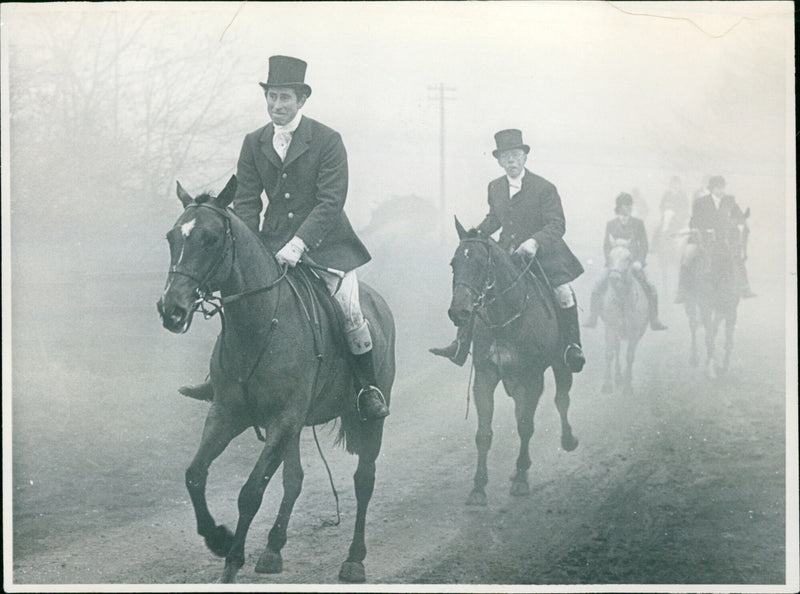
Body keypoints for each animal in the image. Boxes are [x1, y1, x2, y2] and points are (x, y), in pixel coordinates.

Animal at [155, 176, 394, 584]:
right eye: (173, 237)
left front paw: (232, 559)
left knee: (364, 480)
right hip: (294, 428)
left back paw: (354, 560)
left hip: (367, 418)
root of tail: (378, 303)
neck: (260, 321)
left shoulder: (282, 420)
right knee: (293, 479)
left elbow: (250, 492)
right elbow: (195, 475)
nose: (171, 309)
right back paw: (273, 548)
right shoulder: (229, 414)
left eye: (210, 238)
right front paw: (218, 539)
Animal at [446, 217, 580, 504]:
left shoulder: (533, 378)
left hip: (561, 364)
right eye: (454, 263)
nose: (458, 312)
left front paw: (520, 479)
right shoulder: (485, 377)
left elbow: (525, 425)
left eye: (481, 263)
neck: (505, 318)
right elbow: (484, 433)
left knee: (561, 398)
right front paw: (478, 487)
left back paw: (567, 440)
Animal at [600, 236, 648, 394]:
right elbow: (610, 353)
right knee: (616, 348)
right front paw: (607, 385)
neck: (622, 303)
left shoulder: (634, 333)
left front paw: (628, 387)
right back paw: (618, 377)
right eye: (610, 256)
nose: (614, 277)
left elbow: (629, 356)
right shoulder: (611, 328)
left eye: (628, 258)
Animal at [680, 220, 744, 376]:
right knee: (693, 325)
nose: (738, 256)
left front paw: (723, 366)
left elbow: (727, 338)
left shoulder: (730, 308)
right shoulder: (705, 306)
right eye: (729, 231)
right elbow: (708, 335)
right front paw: (711, 369)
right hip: (690, 302)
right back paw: (695, 358)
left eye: (746, 231)